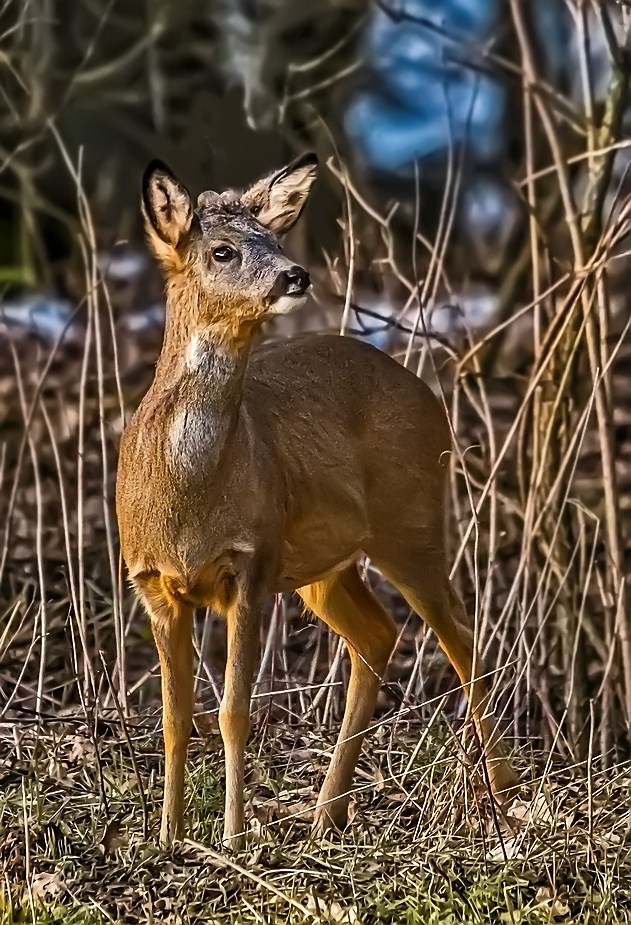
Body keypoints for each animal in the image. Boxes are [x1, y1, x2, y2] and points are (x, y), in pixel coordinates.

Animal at [116, 150, 520, 844]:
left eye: (275, 239)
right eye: (222, 250)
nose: (295, 275)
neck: (187, 496)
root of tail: (423, 387)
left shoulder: (251, 564)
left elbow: (233, 711)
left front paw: (233, 839)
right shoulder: (153, 582)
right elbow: (174, 715)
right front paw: (166, 838)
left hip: (412, 521)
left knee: (460, 636)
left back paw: (504, 794)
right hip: (324, 569)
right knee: (379, 634)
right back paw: (325, 815)